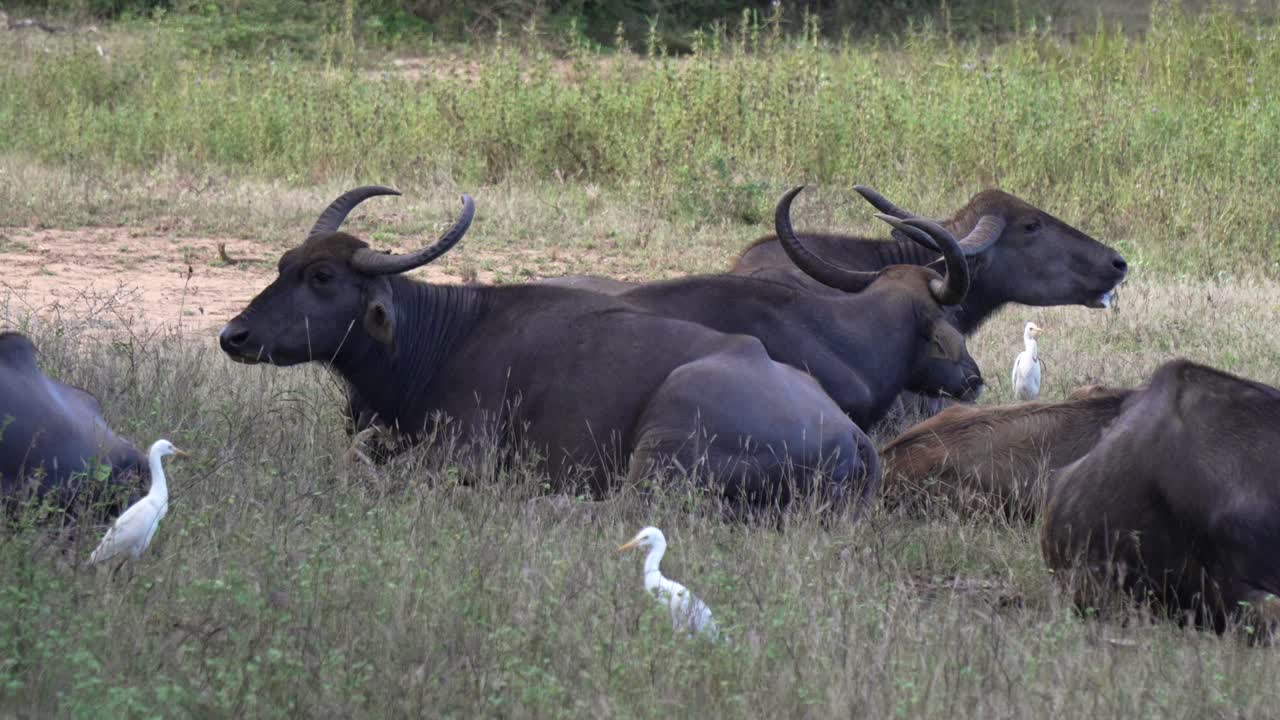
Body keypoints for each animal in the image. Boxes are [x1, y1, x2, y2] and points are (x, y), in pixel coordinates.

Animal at [219, 188, 879, 513]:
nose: (234, 336)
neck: (439, 339)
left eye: (323, 277)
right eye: (282, 265)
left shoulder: (462, 454)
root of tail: (852, 437)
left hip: (670, 438)